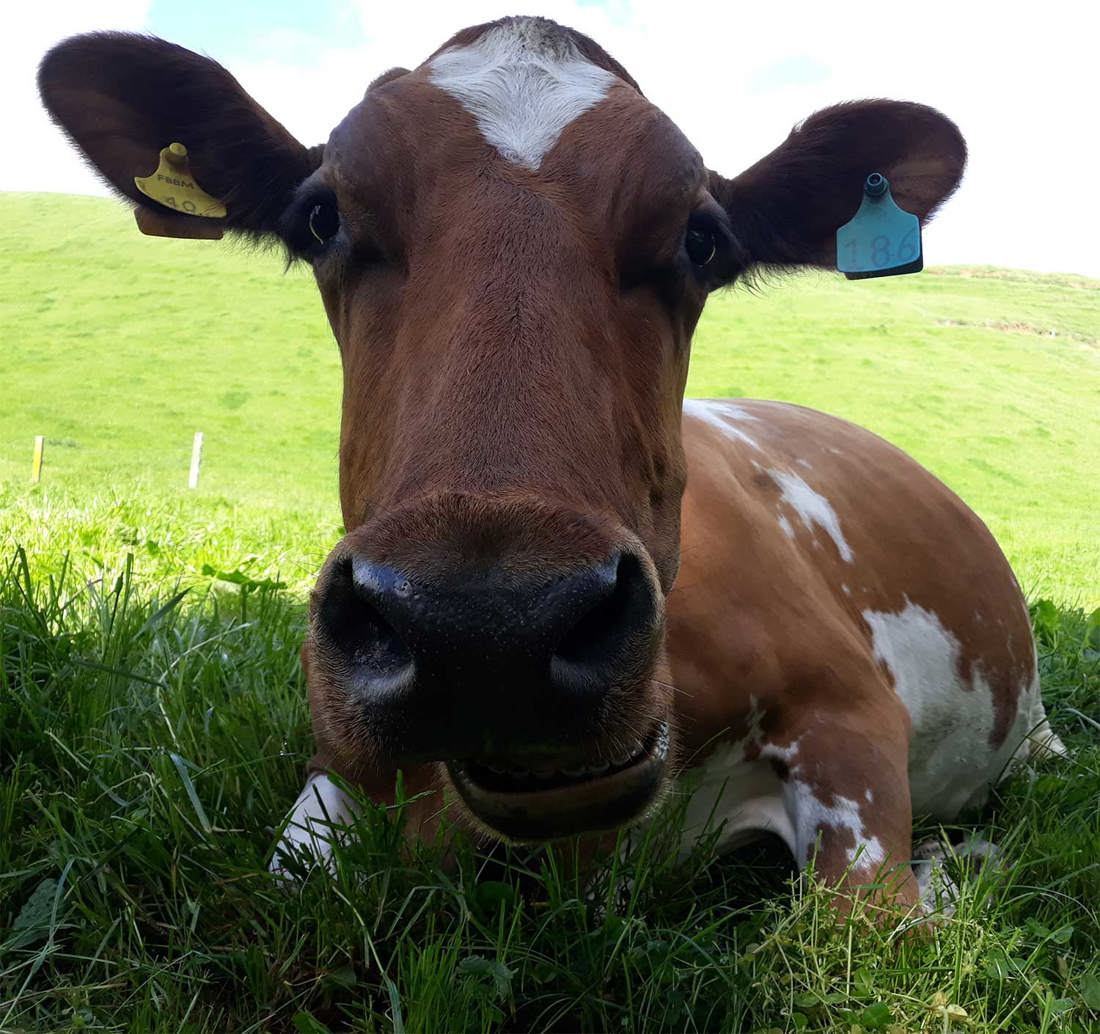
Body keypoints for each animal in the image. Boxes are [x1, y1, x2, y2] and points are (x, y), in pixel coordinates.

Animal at [40, 15, 1064, 915]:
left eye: (703, 239)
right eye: (320, 217)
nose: (486, 630)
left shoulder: (851, 707)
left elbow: (872, 922)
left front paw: (958, 866)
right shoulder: (337, 765)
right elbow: (288, 885)